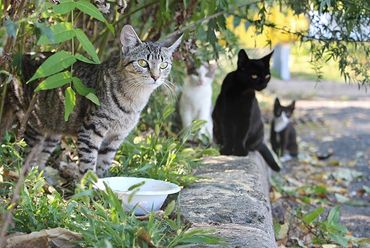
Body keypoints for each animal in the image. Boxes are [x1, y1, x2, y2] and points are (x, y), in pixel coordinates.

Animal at [14, 25, 182, 177]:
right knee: (25, 156)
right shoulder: (91, 129)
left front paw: (102, 185)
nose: (156, 76)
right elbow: (88, 162)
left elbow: (104, 163)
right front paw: (89, 185)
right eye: (142, 63)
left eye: (164, 65)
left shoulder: (116, 138)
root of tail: (26, 56)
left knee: (41, 157)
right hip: (33, 125)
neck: (134, 100)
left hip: (54, 129)